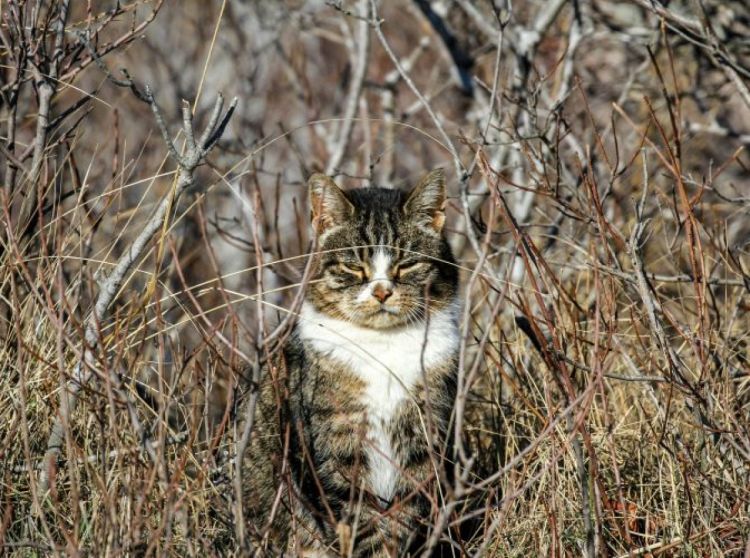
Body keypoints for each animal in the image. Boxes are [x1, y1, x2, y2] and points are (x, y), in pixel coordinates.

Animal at [241, 168, 462, 556]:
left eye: (407, 264)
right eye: (353, 266)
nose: (382, 291)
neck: (384, 347)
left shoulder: (423, 442)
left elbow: (405, 518)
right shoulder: (334, 452)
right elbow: (359, 525)